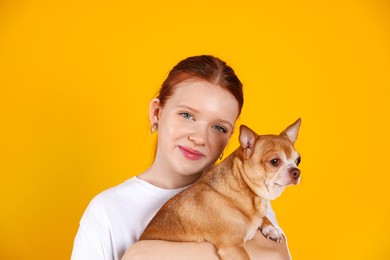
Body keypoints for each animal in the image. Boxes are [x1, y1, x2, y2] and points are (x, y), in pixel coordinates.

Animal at [140, 119, 302, 258]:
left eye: (298, 160)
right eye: (275, 161)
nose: (296, 172)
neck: (246, 193)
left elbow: (263, 216)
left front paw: (271, 228)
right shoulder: (233, 248)